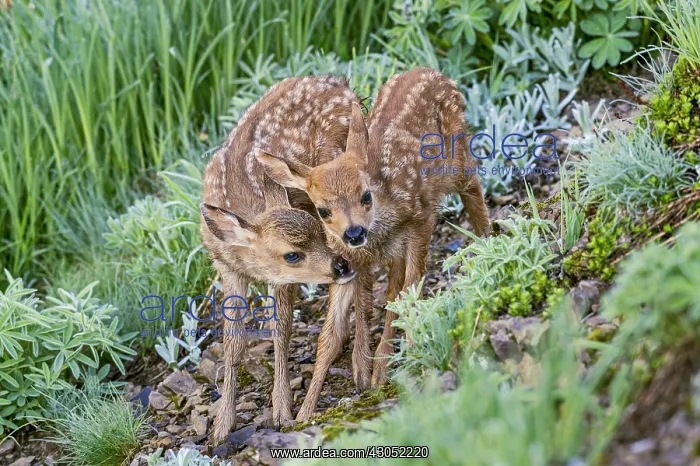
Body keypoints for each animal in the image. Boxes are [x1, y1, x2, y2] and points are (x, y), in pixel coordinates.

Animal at [200, 75, 368, 443]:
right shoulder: (227, 269)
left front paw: (282, 411)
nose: (340, 266)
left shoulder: (281, 279)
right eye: (292, 253)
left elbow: (281, 330)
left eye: (318, 232)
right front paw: (222, 426)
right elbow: (233, 343)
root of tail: (341, 82)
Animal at [257, 67, 490, 395]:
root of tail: (433, 72)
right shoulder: (349, 260)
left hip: (457, 158)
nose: (353, 233)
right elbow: (329, 336)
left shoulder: (421, 219)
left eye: (365, 196)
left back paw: (489, 246)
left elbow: (410, 289)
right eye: (323, 210)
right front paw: (308, 404)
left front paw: (409, 356)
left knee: (474, 188)